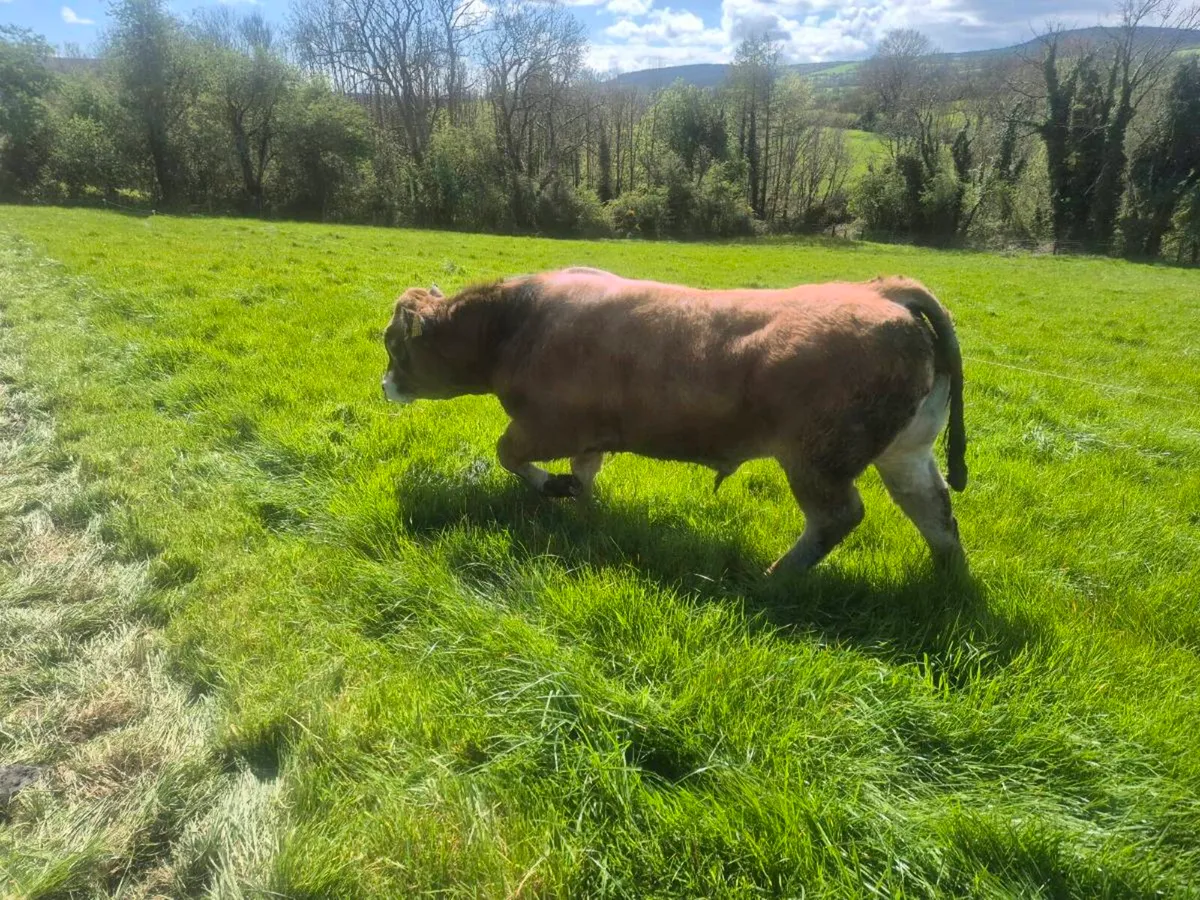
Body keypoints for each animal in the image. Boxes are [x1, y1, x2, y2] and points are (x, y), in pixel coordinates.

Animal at [381, 267, 968, 575]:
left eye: (392, 345)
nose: (384, 385)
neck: (514, 325)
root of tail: (881, 291)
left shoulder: (543, 426)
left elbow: (509, 454)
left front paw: (554, 488)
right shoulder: (590, 434)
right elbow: (585, 474)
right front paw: (581, 507)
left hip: (816, 459)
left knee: (839, 516)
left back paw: (775, 578)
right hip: (906, 452)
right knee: (933, 509)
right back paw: (949, 579)